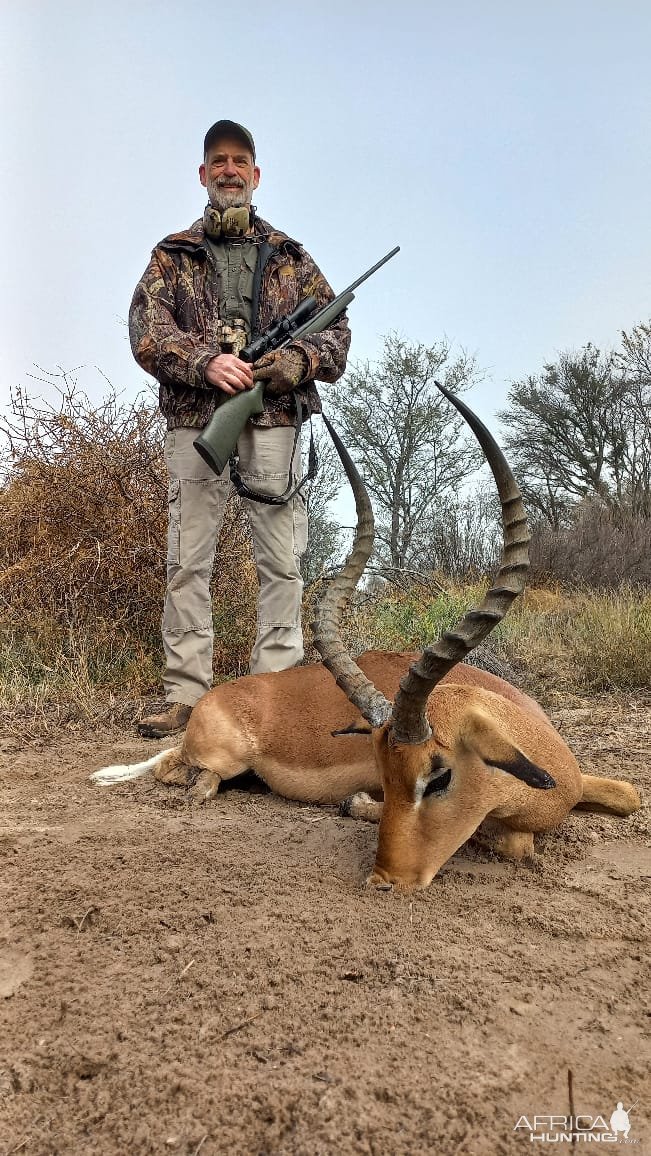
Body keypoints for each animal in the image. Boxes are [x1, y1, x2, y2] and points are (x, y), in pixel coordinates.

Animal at [91, 393, 642, 887]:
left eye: (439, 776)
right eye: (384, 770)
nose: (386, 878)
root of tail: (212, 700)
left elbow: (630, 795)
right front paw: (355, 804)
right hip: (220, 757)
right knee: (182, 774)